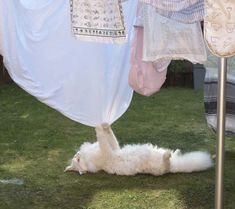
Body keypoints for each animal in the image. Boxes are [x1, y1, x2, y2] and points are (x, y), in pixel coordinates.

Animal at [64, 123, 213, 176]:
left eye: (76, 158)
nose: (77, 154)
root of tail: (175, 166)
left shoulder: (114, 148)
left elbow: (110, 137)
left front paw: (105, 126)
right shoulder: (108, 153)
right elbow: (102, 138)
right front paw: (98, 128)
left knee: (173, 156)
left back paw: (175, 151)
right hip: (160, 169)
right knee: (166, 165)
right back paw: (167, 155)